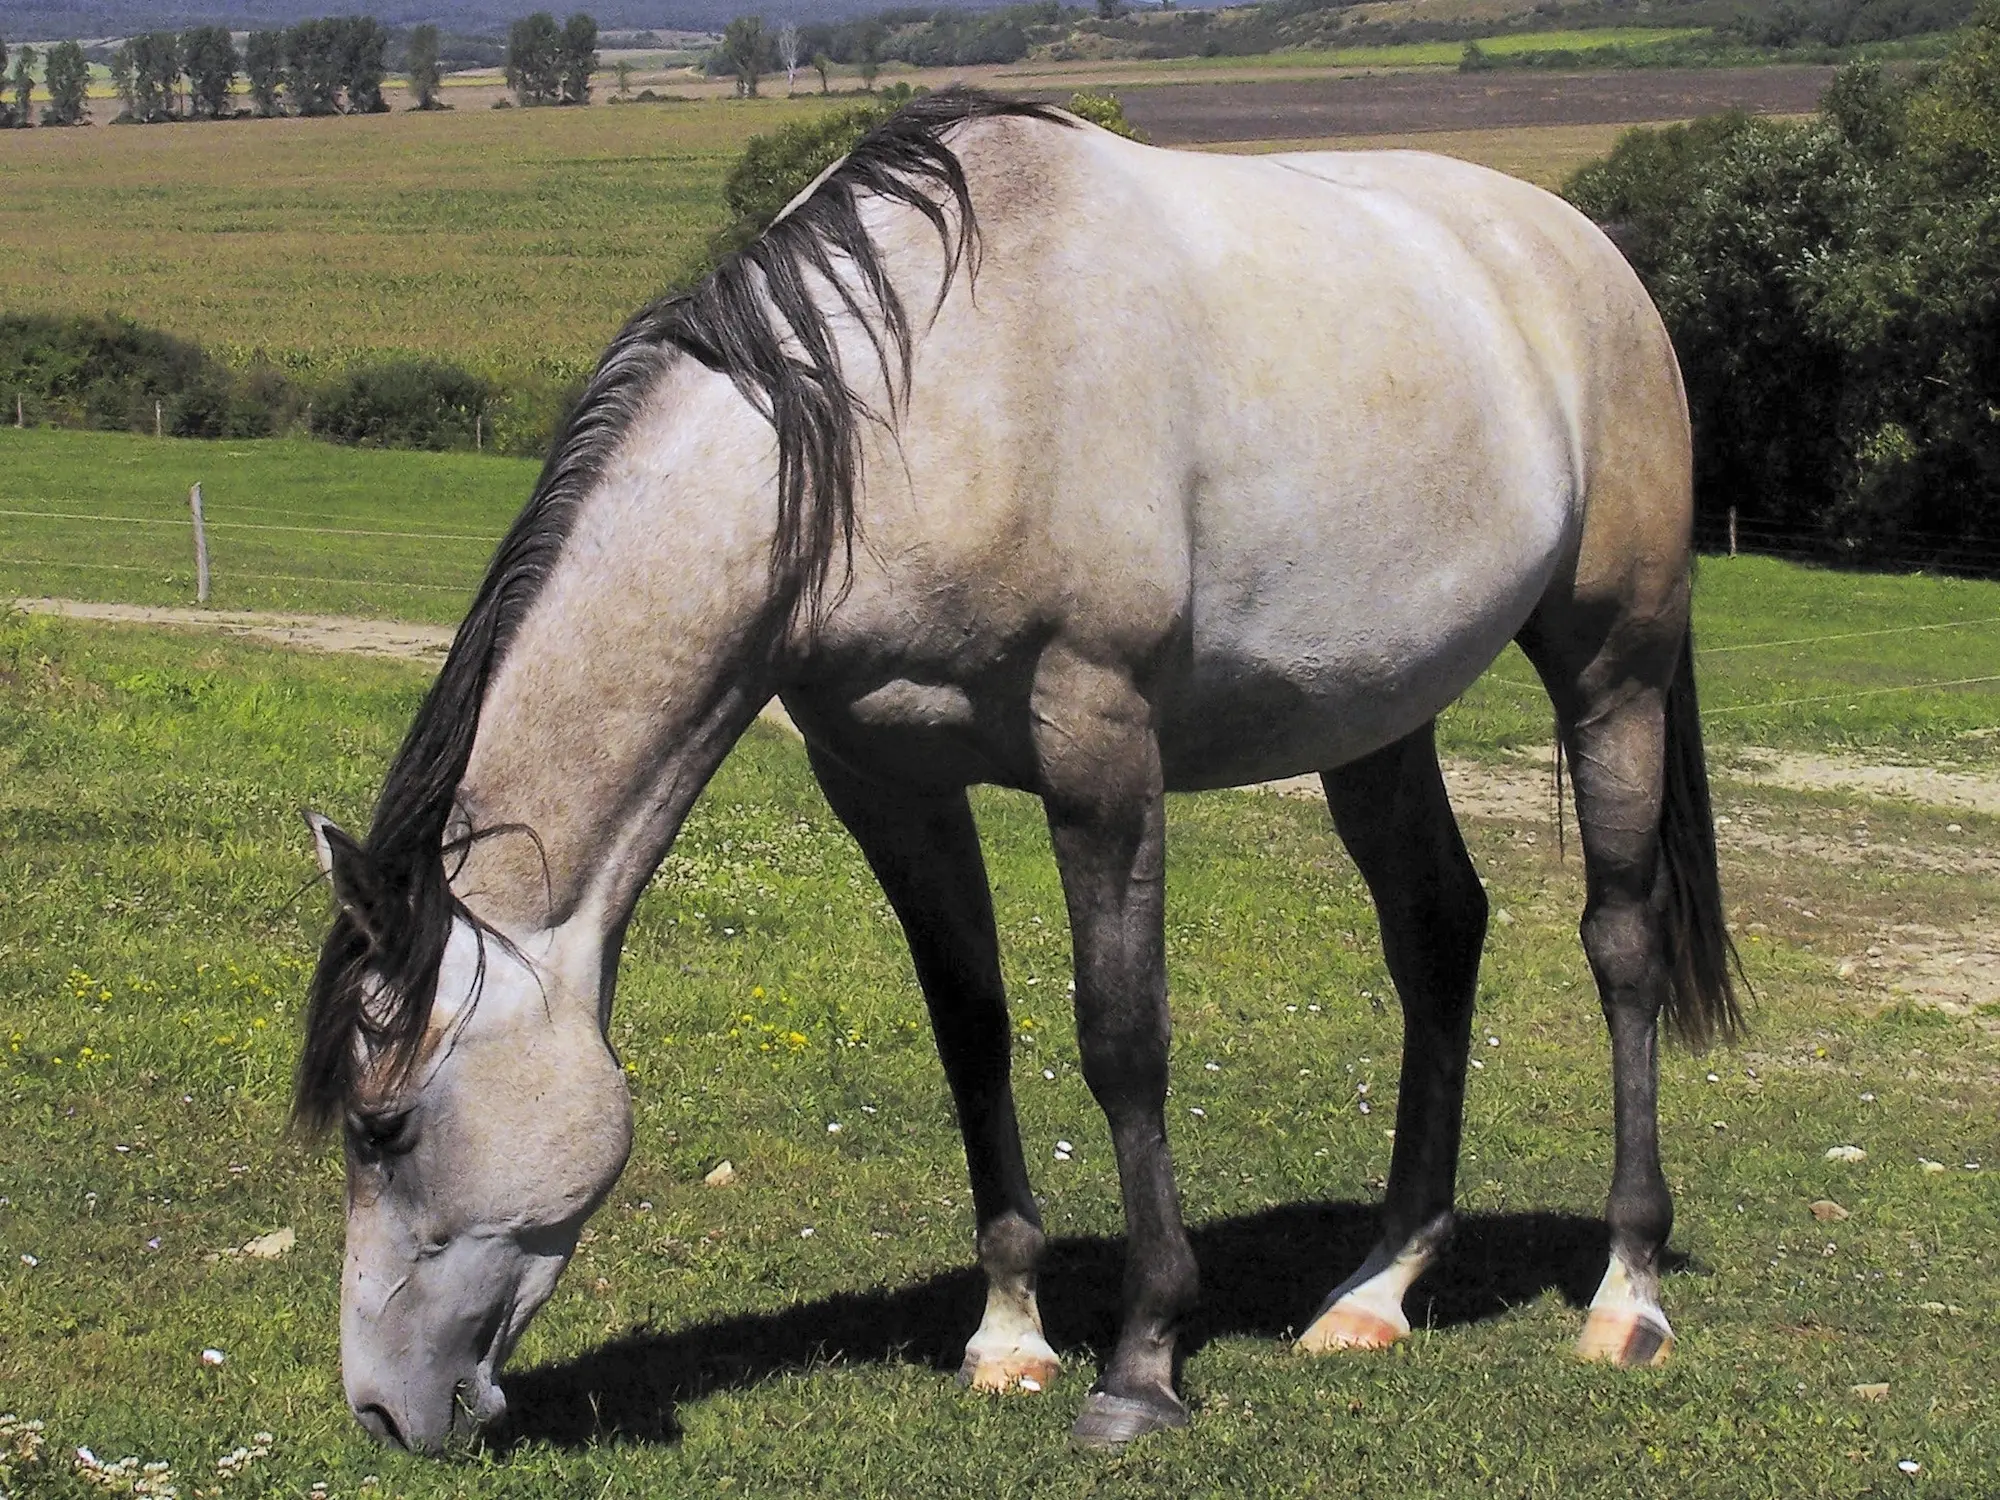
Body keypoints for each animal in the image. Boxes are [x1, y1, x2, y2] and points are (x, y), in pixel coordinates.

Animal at [292, 94, 1736, 1456]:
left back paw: (1626, 1294)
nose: (382, 1412)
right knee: (1437, 932)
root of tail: (1586, 252)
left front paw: (1142, 1362)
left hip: (1612, 667)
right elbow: (970, 1033)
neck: (917, 408)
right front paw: (1006, 1334)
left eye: (384, 1126)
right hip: (1379, 718)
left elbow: (1121, 1039)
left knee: (1620, 941)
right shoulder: (885, 781)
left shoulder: (1098, 747)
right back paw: (1377, 1291)